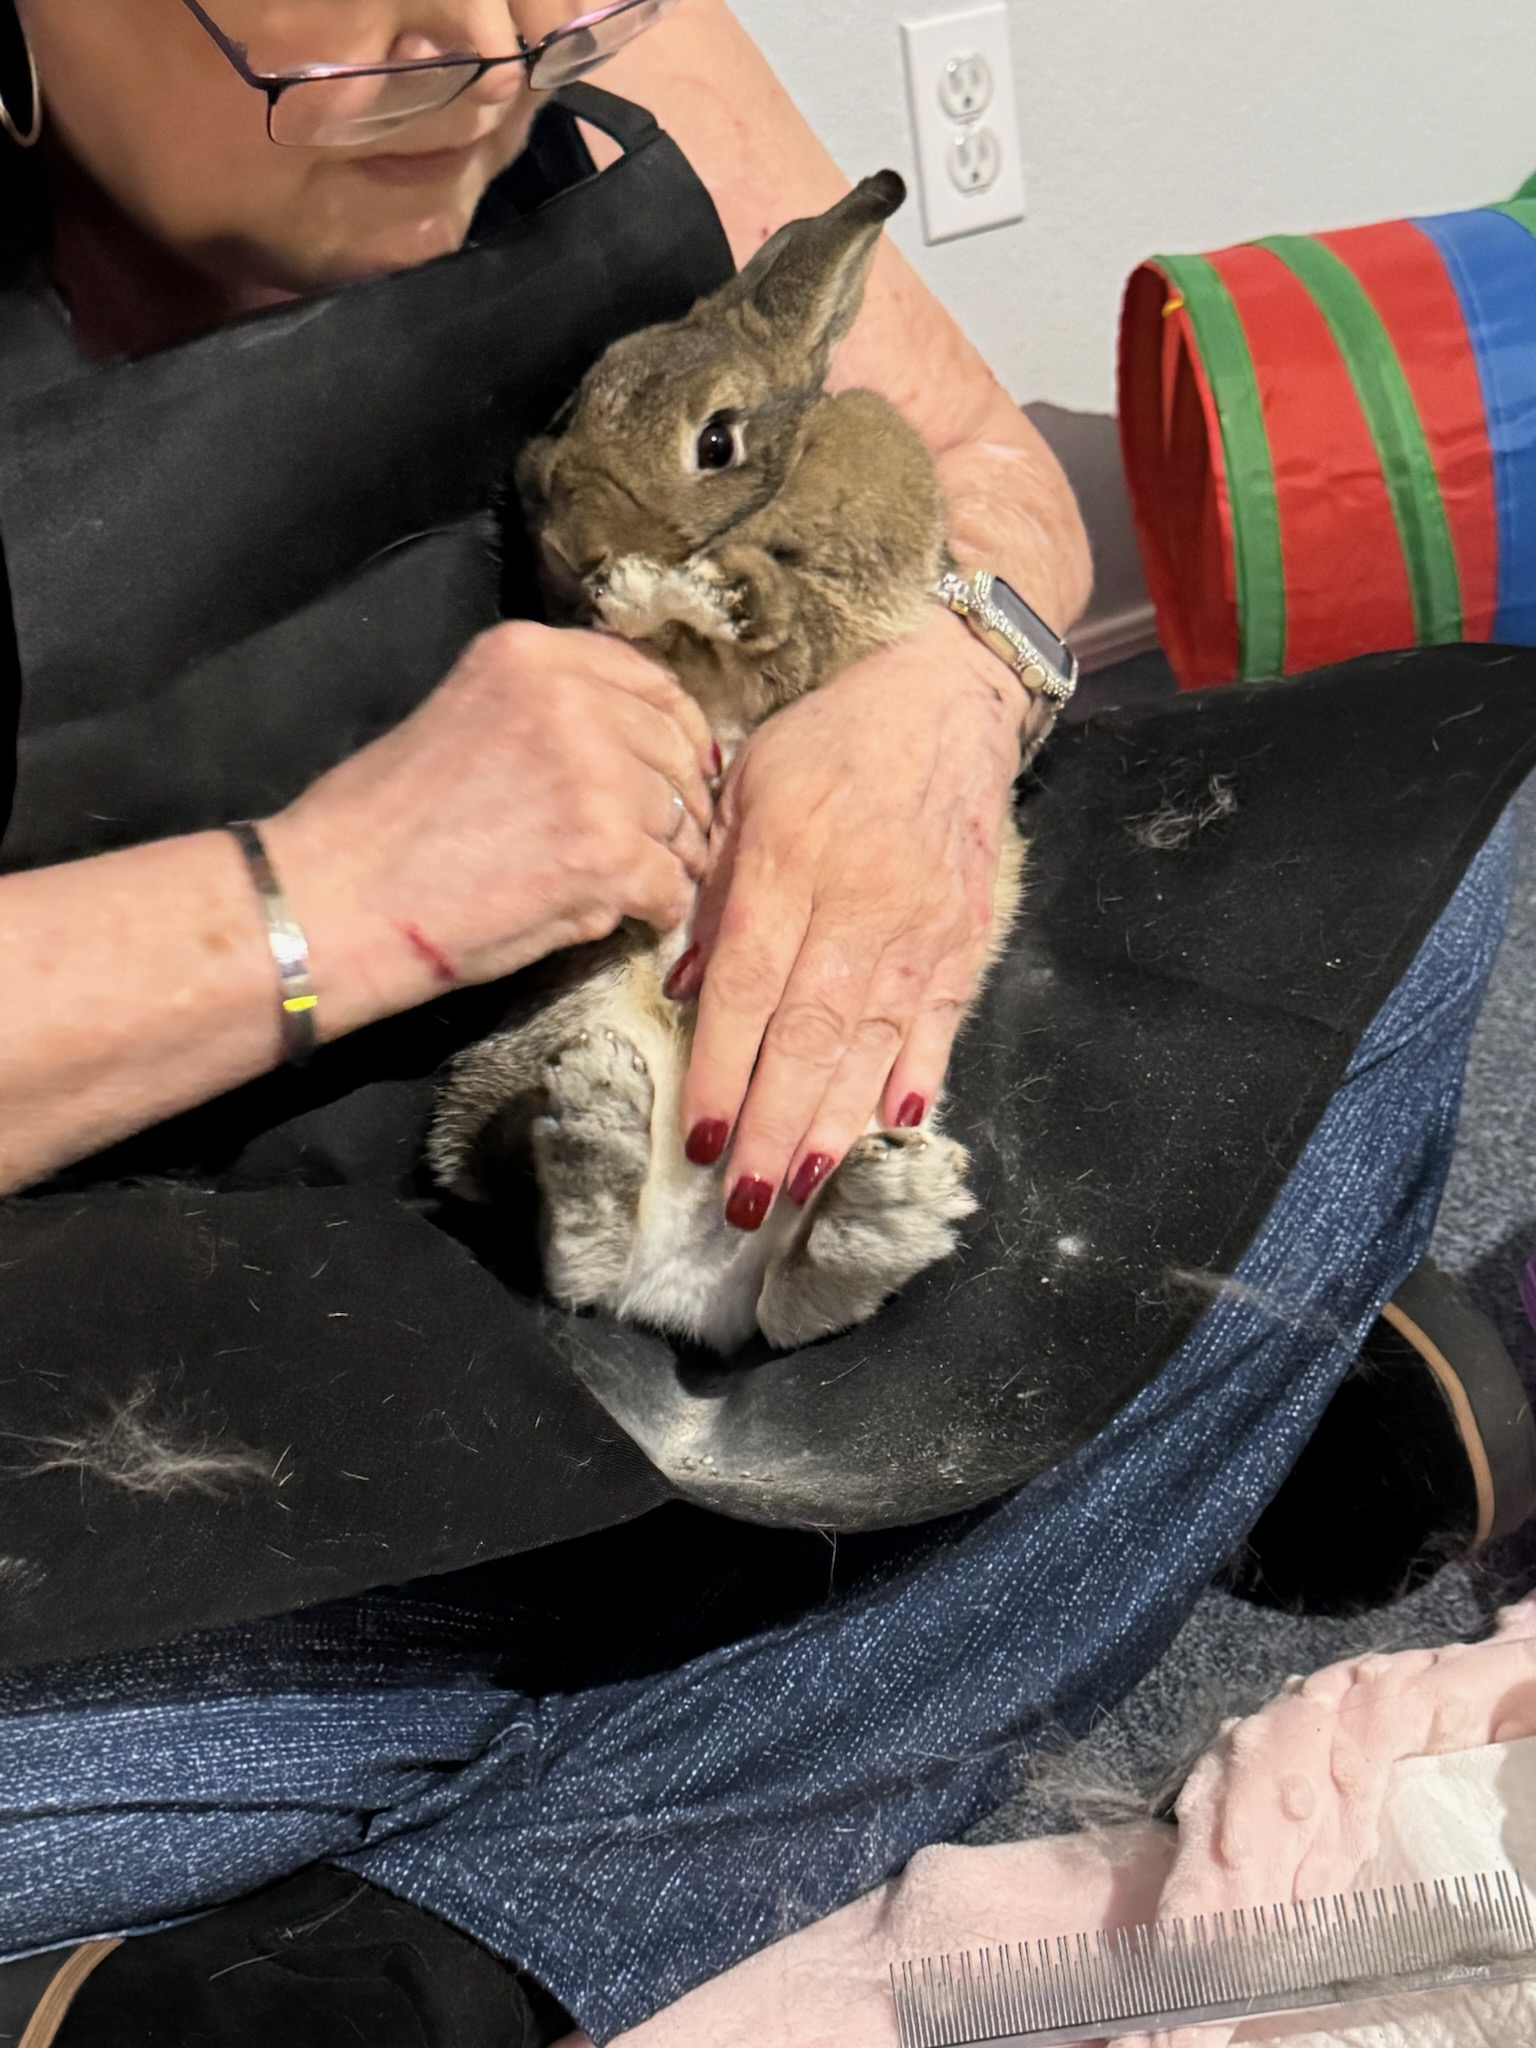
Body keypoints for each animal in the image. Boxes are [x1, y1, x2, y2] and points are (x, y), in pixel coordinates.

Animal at [426, 170, 1026, 1353]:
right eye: (572, 409)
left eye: (717, 443)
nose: (573, 543)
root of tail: (682, 1285)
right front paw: (645, 599)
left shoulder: (821, 607)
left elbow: (760, 624)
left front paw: (690, 596)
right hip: (552, 1042)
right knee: (565, 1238)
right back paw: (603, 1145)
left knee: (790, 1300)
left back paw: (883, 1208)